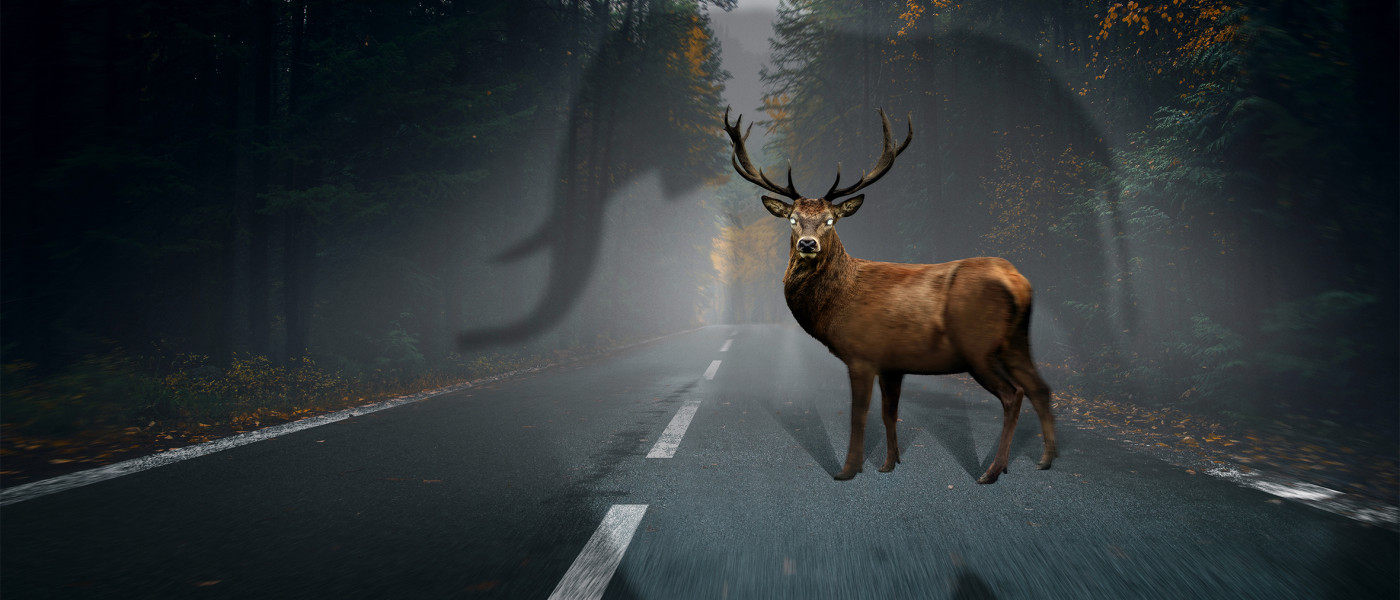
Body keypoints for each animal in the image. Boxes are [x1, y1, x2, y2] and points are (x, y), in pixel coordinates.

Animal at [728, 106, 1052, 481]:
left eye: (830, 220)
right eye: (792, 219)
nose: (808, 244)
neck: (838, 301)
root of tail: (1018, 281)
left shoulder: (861, 354)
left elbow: (859, 415)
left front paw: (848, 471)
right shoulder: (892, 364)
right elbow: (888, 413)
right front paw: (888, 464)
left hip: (978, 348)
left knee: (1014, 394)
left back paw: (993, 471)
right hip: (1017, 340)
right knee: (1040, 387)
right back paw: (1046, 459)